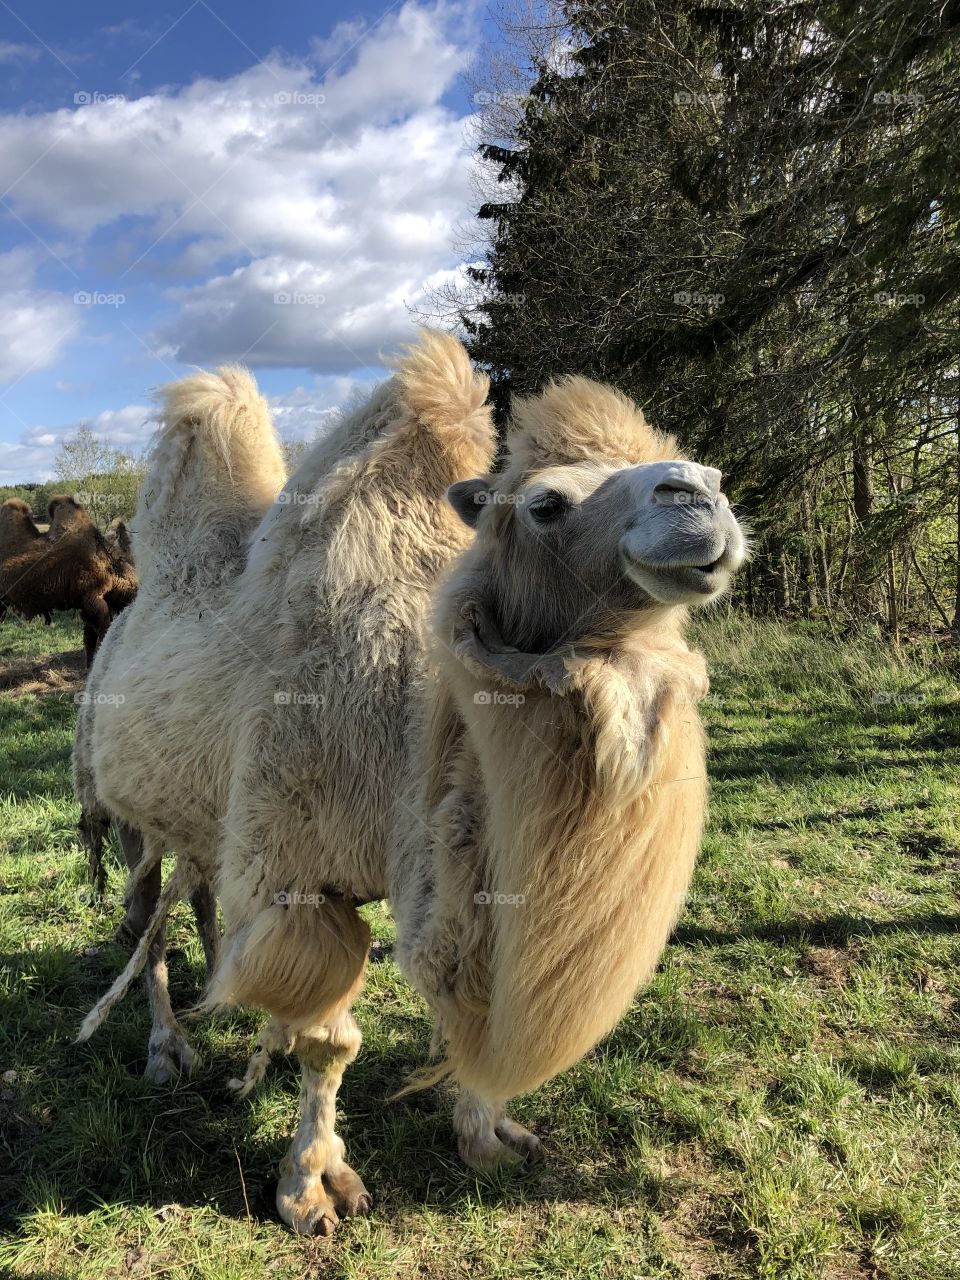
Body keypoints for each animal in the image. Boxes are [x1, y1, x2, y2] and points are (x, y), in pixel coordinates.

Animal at [76, 331, 745, 1235]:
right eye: (545, 504)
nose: (701, 495)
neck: (411, 704)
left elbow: (467, 1011)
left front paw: (490, 1132)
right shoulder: (306, 875)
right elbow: (333, 1043)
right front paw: (311, 1189)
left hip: (205, 817)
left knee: (205, 896)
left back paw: (221, 1007)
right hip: (127, 807)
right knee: (147, 921)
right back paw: (165, 1050)